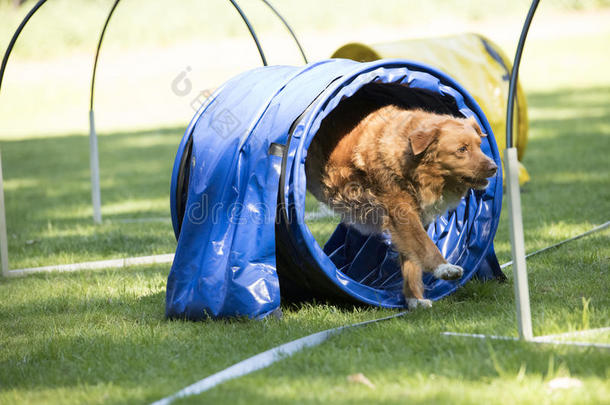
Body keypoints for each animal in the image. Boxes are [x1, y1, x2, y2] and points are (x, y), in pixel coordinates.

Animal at [306, 103, 496, 306]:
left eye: (479, 146)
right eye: (462, 149)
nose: (494, 167)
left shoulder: (415, 216)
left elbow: (411, 261)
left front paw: (415, 299)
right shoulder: (401, 211)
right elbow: (424, 243)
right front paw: (444, 268)